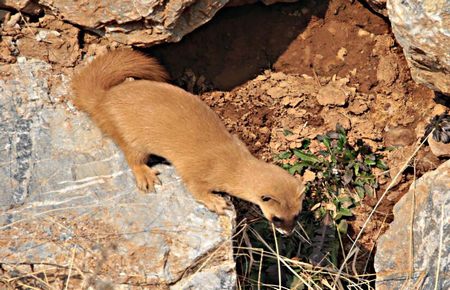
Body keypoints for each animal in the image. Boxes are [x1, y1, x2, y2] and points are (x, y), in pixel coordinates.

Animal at [72, 48, 304, 234]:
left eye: (297, 215)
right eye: (277, 218)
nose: (289, 232)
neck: (232, 161)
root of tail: (104, 98)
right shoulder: (196, 170)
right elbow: (195, 188)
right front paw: (217, 202)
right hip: (130, 137)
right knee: (132, 157)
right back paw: (146, 176)